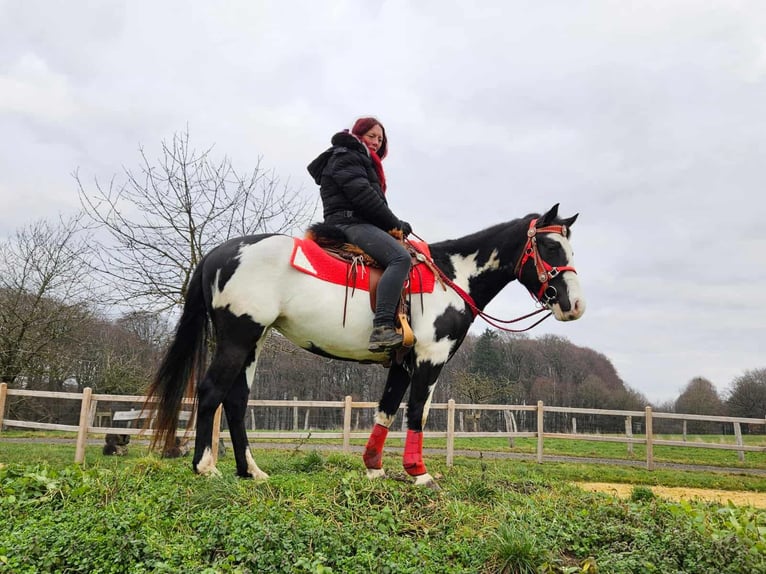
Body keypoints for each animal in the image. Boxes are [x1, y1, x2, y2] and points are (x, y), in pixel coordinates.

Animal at [144, 203, 585, 488]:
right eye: (549, 248)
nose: (574, 305)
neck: (451, 277)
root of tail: (218, 253)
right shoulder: (430, 359)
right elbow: (417, 413)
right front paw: (419, 473)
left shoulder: (403, 363)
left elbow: (386, 411)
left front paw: (374, 467)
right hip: (238, 337)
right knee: (210, 392)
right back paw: (205, 467)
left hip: (255, 340)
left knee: (236, 401)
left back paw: (250, 471)